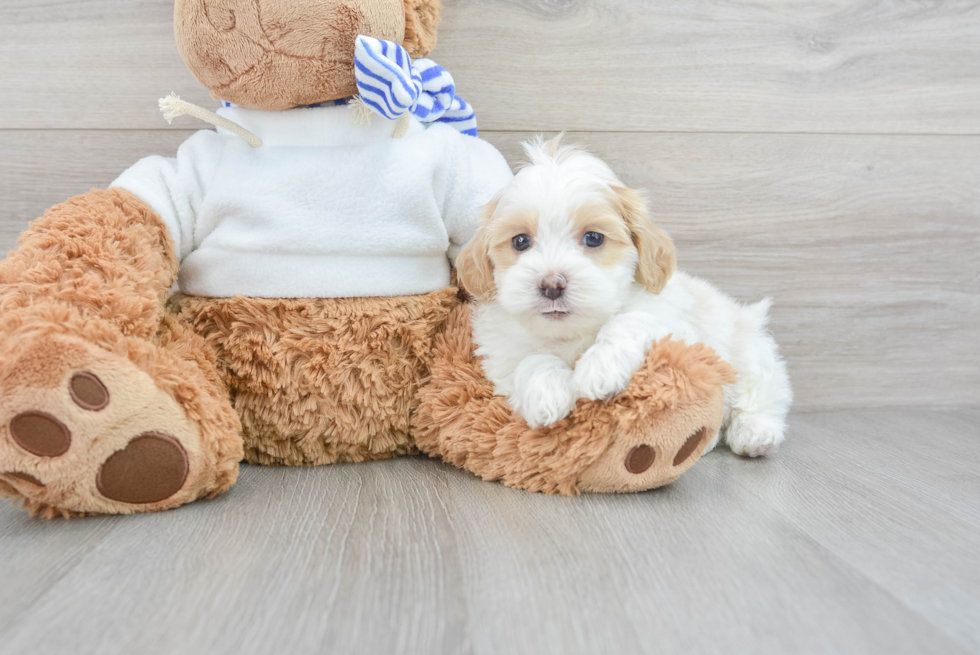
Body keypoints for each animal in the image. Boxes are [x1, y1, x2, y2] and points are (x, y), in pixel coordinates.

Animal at [456, 136, 792, 458]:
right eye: (520, 241)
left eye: (593, 238)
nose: (551, 284)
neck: (572, 333)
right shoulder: (503, 358)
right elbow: (532, 359)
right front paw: (548, 392)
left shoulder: (676, 329)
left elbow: (630, 320)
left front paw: (600, 367)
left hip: (751, 356)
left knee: (763, 393)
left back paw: (755, 432)